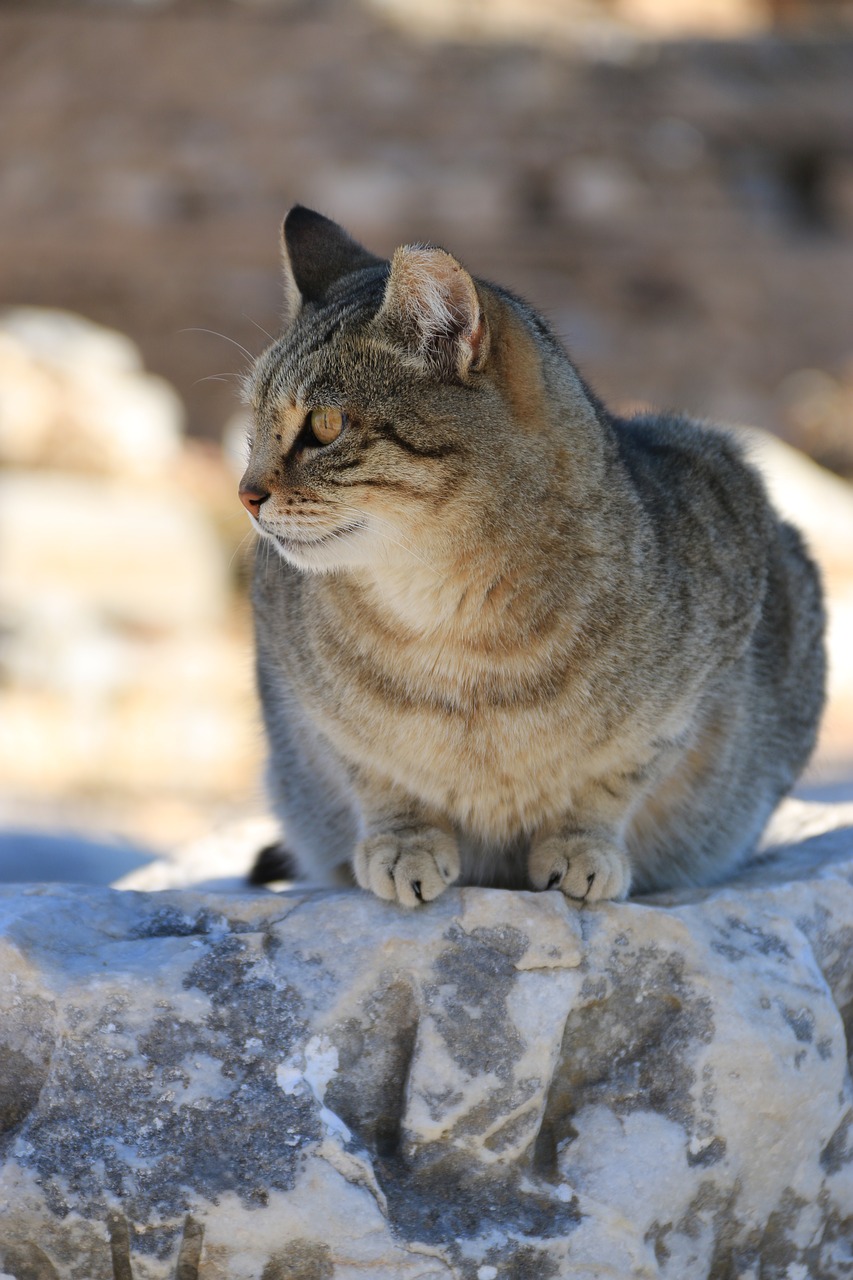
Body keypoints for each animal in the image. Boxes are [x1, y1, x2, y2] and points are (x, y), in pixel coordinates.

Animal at [239, 204, 824, 906]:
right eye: (251, 430)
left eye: (324, 427)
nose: (244, 494)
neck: (451, 617)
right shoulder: (312, 707)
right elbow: (379, 774)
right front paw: (404, 844)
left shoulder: (691, 691)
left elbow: (611, 782)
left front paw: (581, 850)